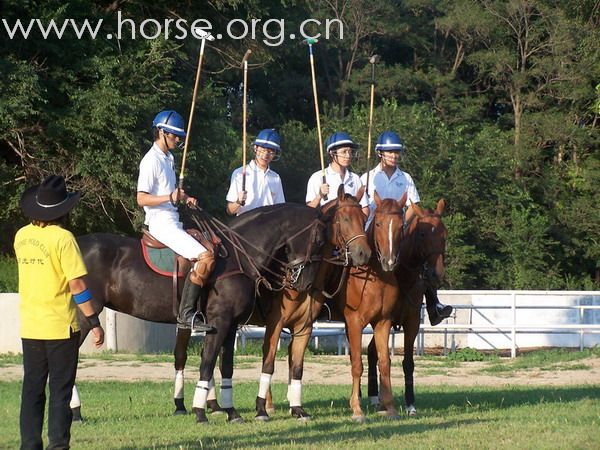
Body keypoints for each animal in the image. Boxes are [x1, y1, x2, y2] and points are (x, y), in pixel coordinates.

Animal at [76, 204, 328, 422]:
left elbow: (226, 366)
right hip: (84, 317)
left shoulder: (231, 324)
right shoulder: (219, 321)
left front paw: (231, 412)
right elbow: (207, 363)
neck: (239, 255)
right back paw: (76, 412)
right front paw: (200, 412)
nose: (304, 284)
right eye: (318, 241)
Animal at [248, 185, 370, 420]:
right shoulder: (275, 323)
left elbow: (297, 366)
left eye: (364, 218)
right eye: (345, 218)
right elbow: (269, 362)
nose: (364, 253)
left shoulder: (304, 326)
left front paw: (296, 408)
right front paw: (262, 409)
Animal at [364, 199, 448, 416]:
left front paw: (410, 404)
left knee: (371, 351)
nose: (436, 274)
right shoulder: (384, 320)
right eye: (422, 234)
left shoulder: (411, 322)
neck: (403, 275)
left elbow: (408, 363)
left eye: (444, 233)